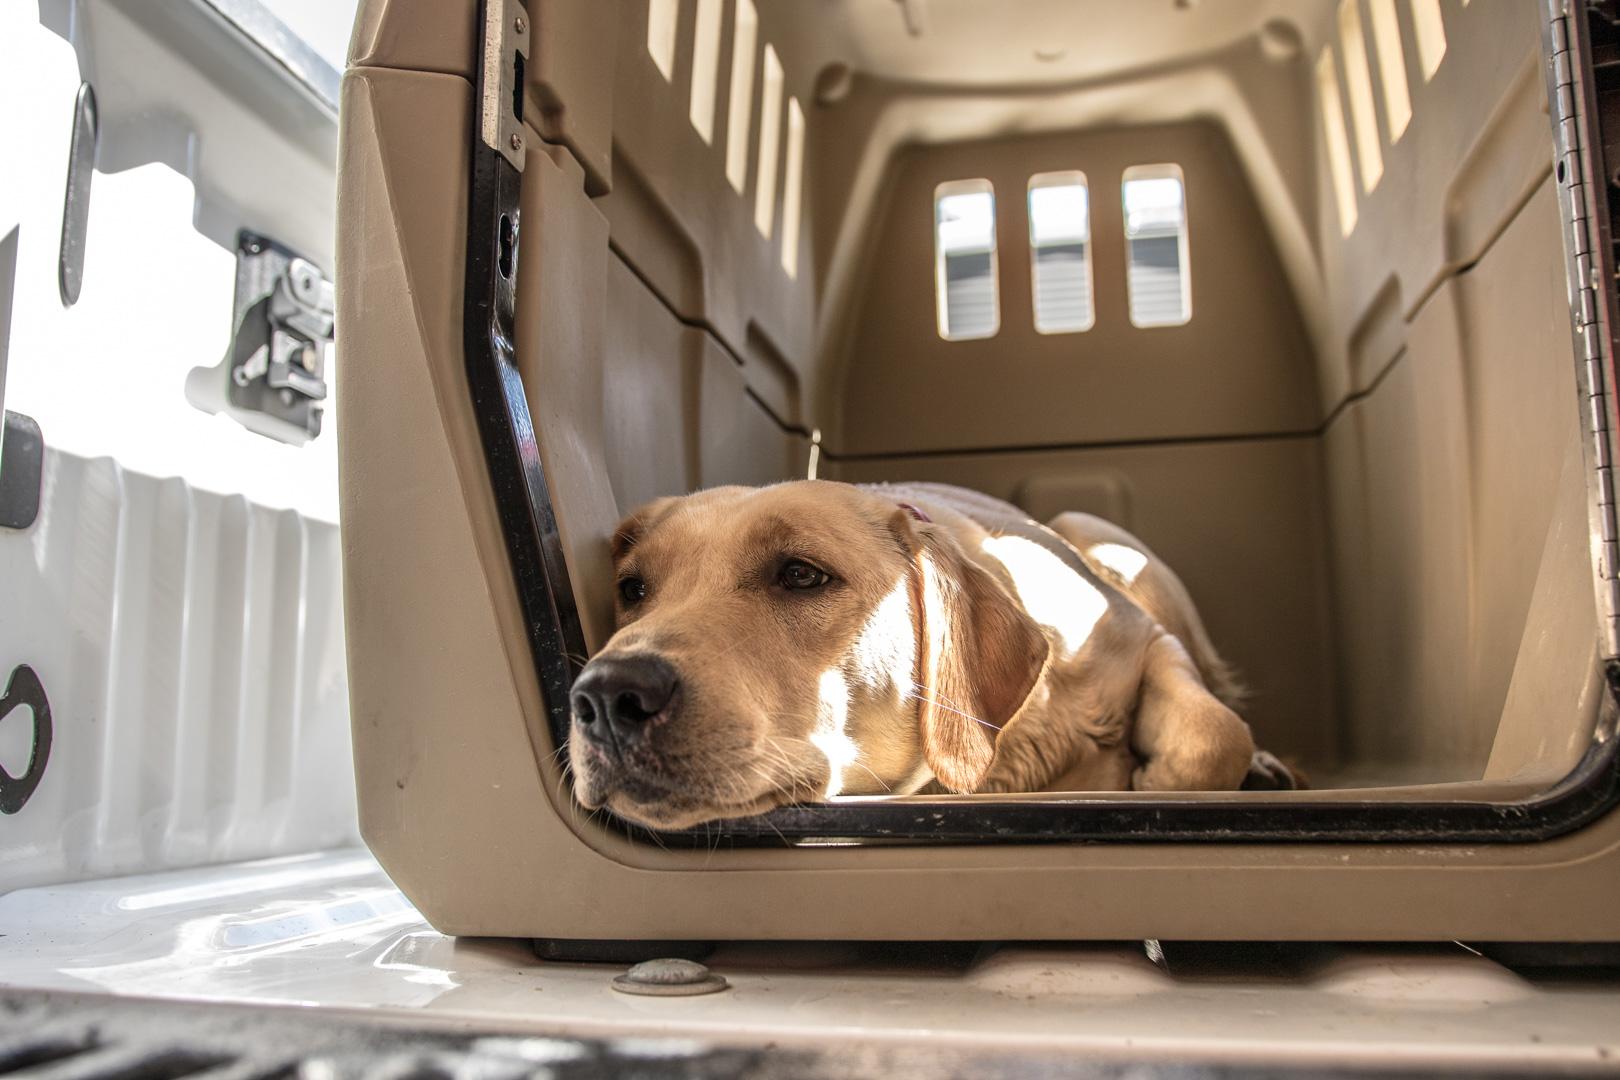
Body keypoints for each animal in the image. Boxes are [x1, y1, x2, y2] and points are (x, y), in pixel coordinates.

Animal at [570, 479, 1289, 829]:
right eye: (633, 590)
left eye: (800, 574)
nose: (606, 694)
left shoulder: (1147, 637)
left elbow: (1215, 733)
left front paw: (1152, 778)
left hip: (1096, 531)